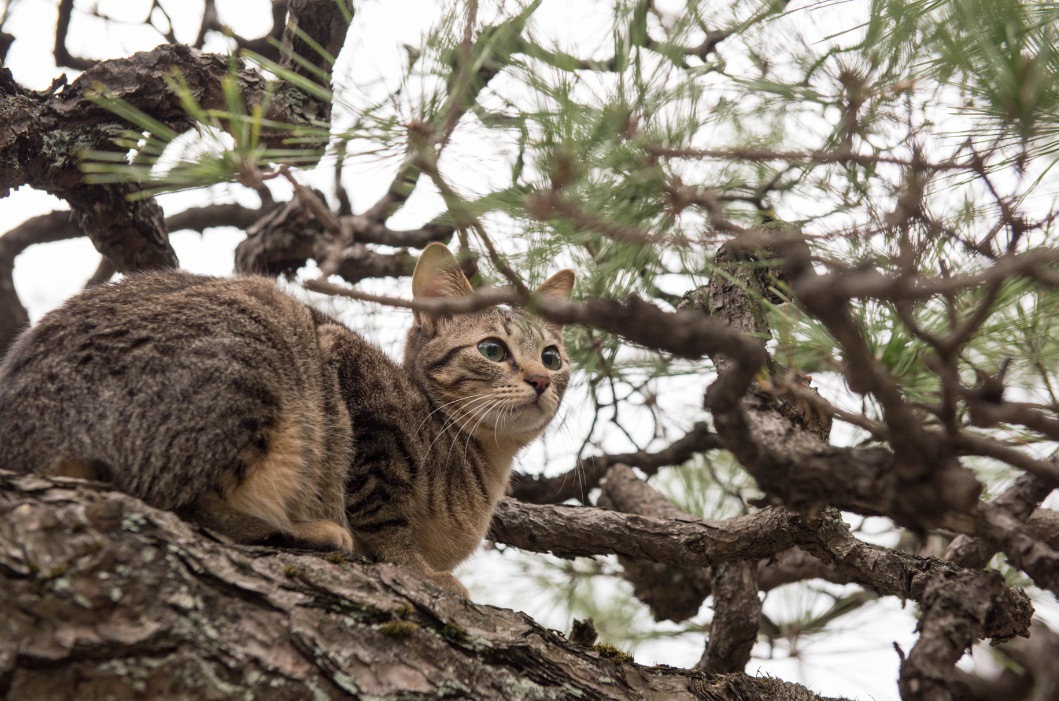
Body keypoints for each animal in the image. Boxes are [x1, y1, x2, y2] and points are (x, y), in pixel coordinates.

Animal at [0, 244, 571, 597]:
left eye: (552, 357)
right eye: (492, 349)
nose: (540, 380)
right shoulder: (357, 391)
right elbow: (383, 511)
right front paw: (417, 570)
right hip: (249, 362)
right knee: (178, 502)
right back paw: (306, 532)